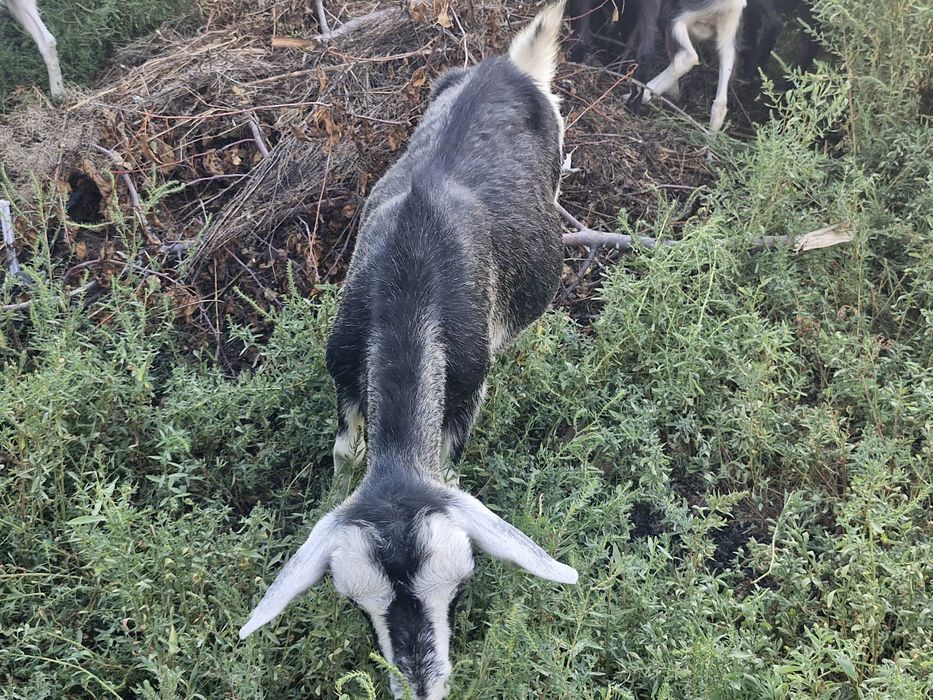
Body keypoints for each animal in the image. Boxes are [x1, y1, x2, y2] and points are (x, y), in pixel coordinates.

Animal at [238, 3, 577, 698]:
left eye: (464, 585)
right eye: (353, 604)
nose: (421, 685)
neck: (411, 271)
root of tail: (511, 67)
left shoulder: (467, 387)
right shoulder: (343, 366)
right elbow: (346, 450)